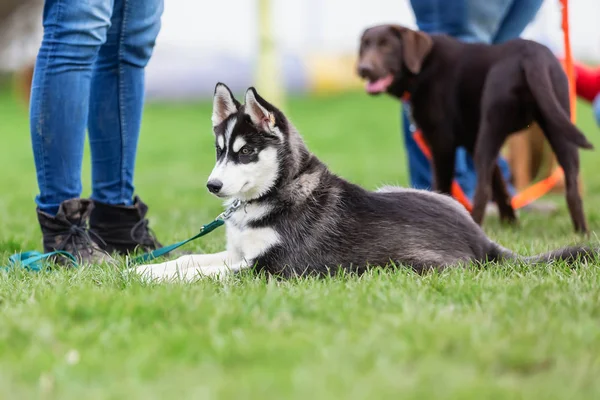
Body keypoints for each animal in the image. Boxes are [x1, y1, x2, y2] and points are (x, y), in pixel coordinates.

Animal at [132, 82, 596, 282]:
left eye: (246, 152)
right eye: (219, 150)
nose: (213, 186)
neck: (274, 194)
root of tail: (481, 240)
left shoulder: (271, 268)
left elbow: (208, 273)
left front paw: (154, 278)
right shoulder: (237, 252)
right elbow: (192, 259)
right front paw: (149, 268)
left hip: (406, 264)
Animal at [358, 23, 592, 233]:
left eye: (387, 46)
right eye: (365, 46)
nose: (363, 69)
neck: (423, 68)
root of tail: (530, 54)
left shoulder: (442, 144)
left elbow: (444, 185)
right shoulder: (471, 142)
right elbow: (501, 186)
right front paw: (511, 224)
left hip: (491, 126)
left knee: (482, 190)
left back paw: (475, 224)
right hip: (558, 126)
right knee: (572, 187)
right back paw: (582, 232)